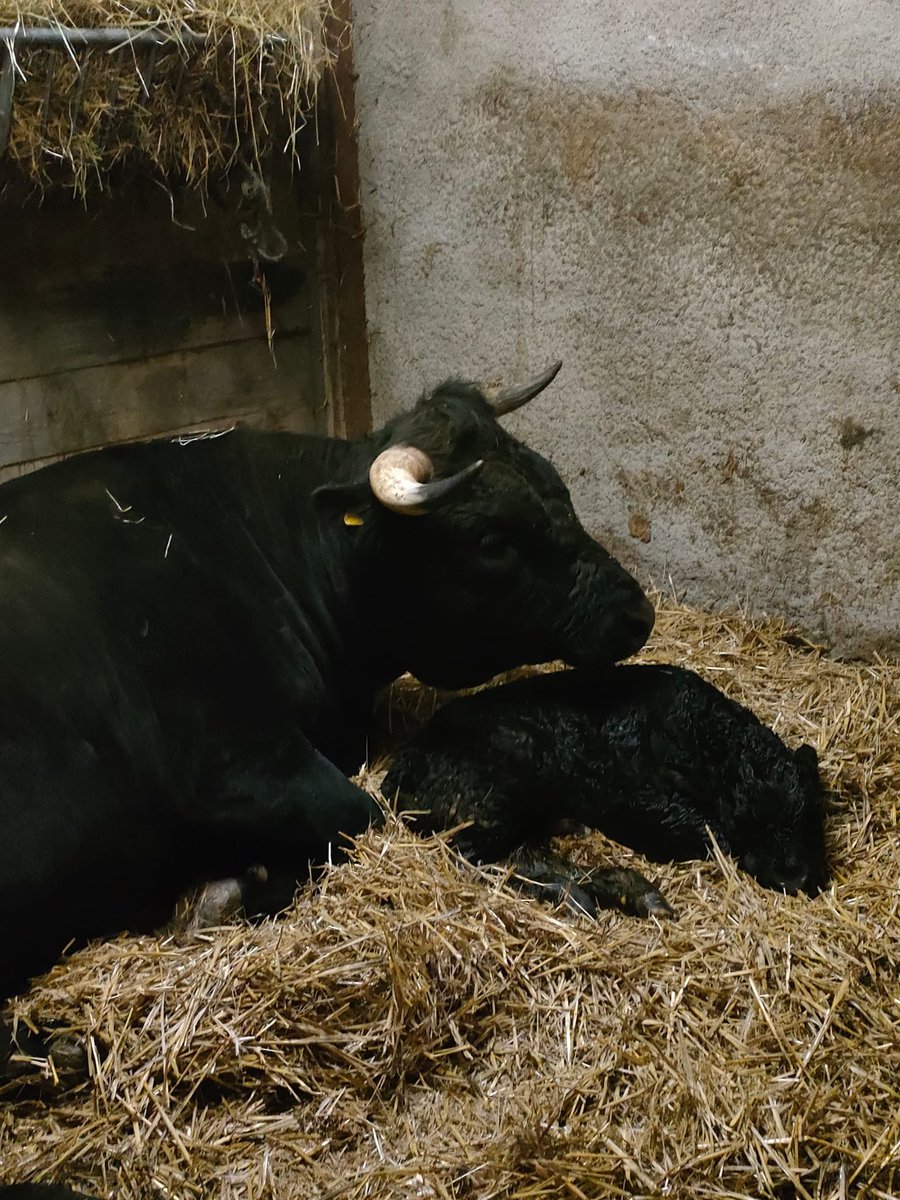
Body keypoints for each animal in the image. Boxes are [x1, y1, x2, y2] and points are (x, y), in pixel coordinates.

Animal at [382, 664, 828, 914]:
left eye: (813, 816)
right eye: (746, 818)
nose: (794, 877)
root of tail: (398, 772)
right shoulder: (631, 796)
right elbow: (706, 833)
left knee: (522, 853)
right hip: (498, 790)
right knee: (471, 856)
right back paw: (590, 897)